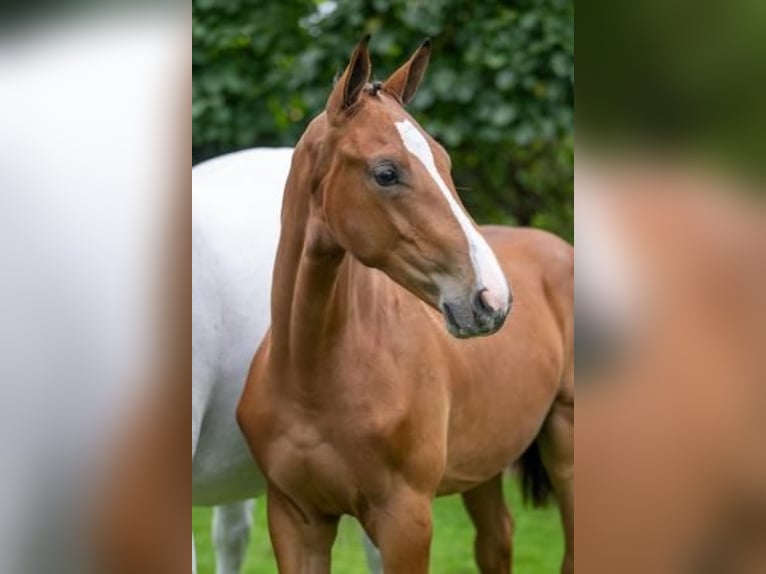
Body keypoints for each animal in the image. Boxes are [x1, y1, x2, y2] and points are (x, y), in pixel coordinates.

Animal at [240, 38, 576, 572]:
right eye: (386, 172)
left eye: (444, 162)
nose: (493, 299)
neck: (312, 376)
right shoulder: (295, 519)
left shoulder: (405, 520)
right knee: (497, 539)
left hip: (565, 439)